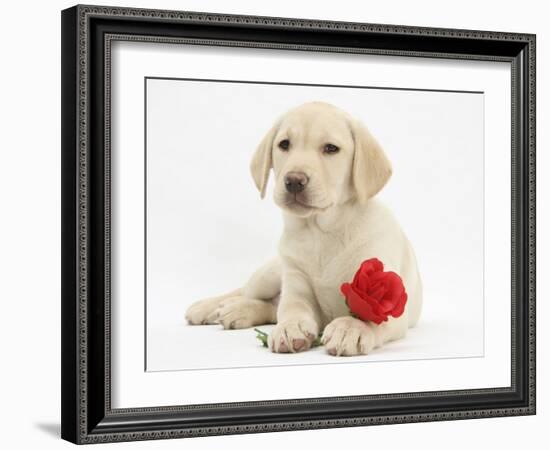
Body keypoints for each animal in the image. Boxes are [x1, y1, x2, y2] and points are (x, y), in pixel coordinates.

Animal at [185, 101, 422, 356]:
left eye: (331, 148)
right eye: (284, 144)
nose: (294, 181)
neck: (320, 231)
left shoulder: (390, 301)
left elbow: (368, 318)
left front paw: (350, 328)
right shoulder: (296, 283)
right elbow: (291, 308)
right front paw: (291, 327)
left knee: (270, 306)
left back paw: (236, 310)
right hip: (270, 273)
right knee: (249, 292)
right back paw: (210, 307)